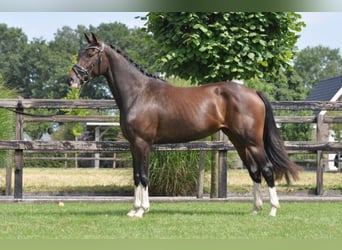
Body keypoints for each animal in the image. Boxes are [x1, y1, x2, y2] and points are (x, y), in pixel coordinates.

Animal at [67, 33, 302, 217]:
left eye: (90, 54)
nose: (72, 79)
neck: (138, 93)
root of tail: (253, 92)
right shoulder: (133, 145)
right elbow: (136, 176)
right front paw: (134, 209)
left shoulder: (143, 143)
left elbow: (144, 175)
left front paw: (142, 210)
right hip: (239, 141)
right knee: (254, 171)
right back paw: (255, 209)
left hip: (253, 142)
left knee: (267, 169)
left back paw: (272, 209)